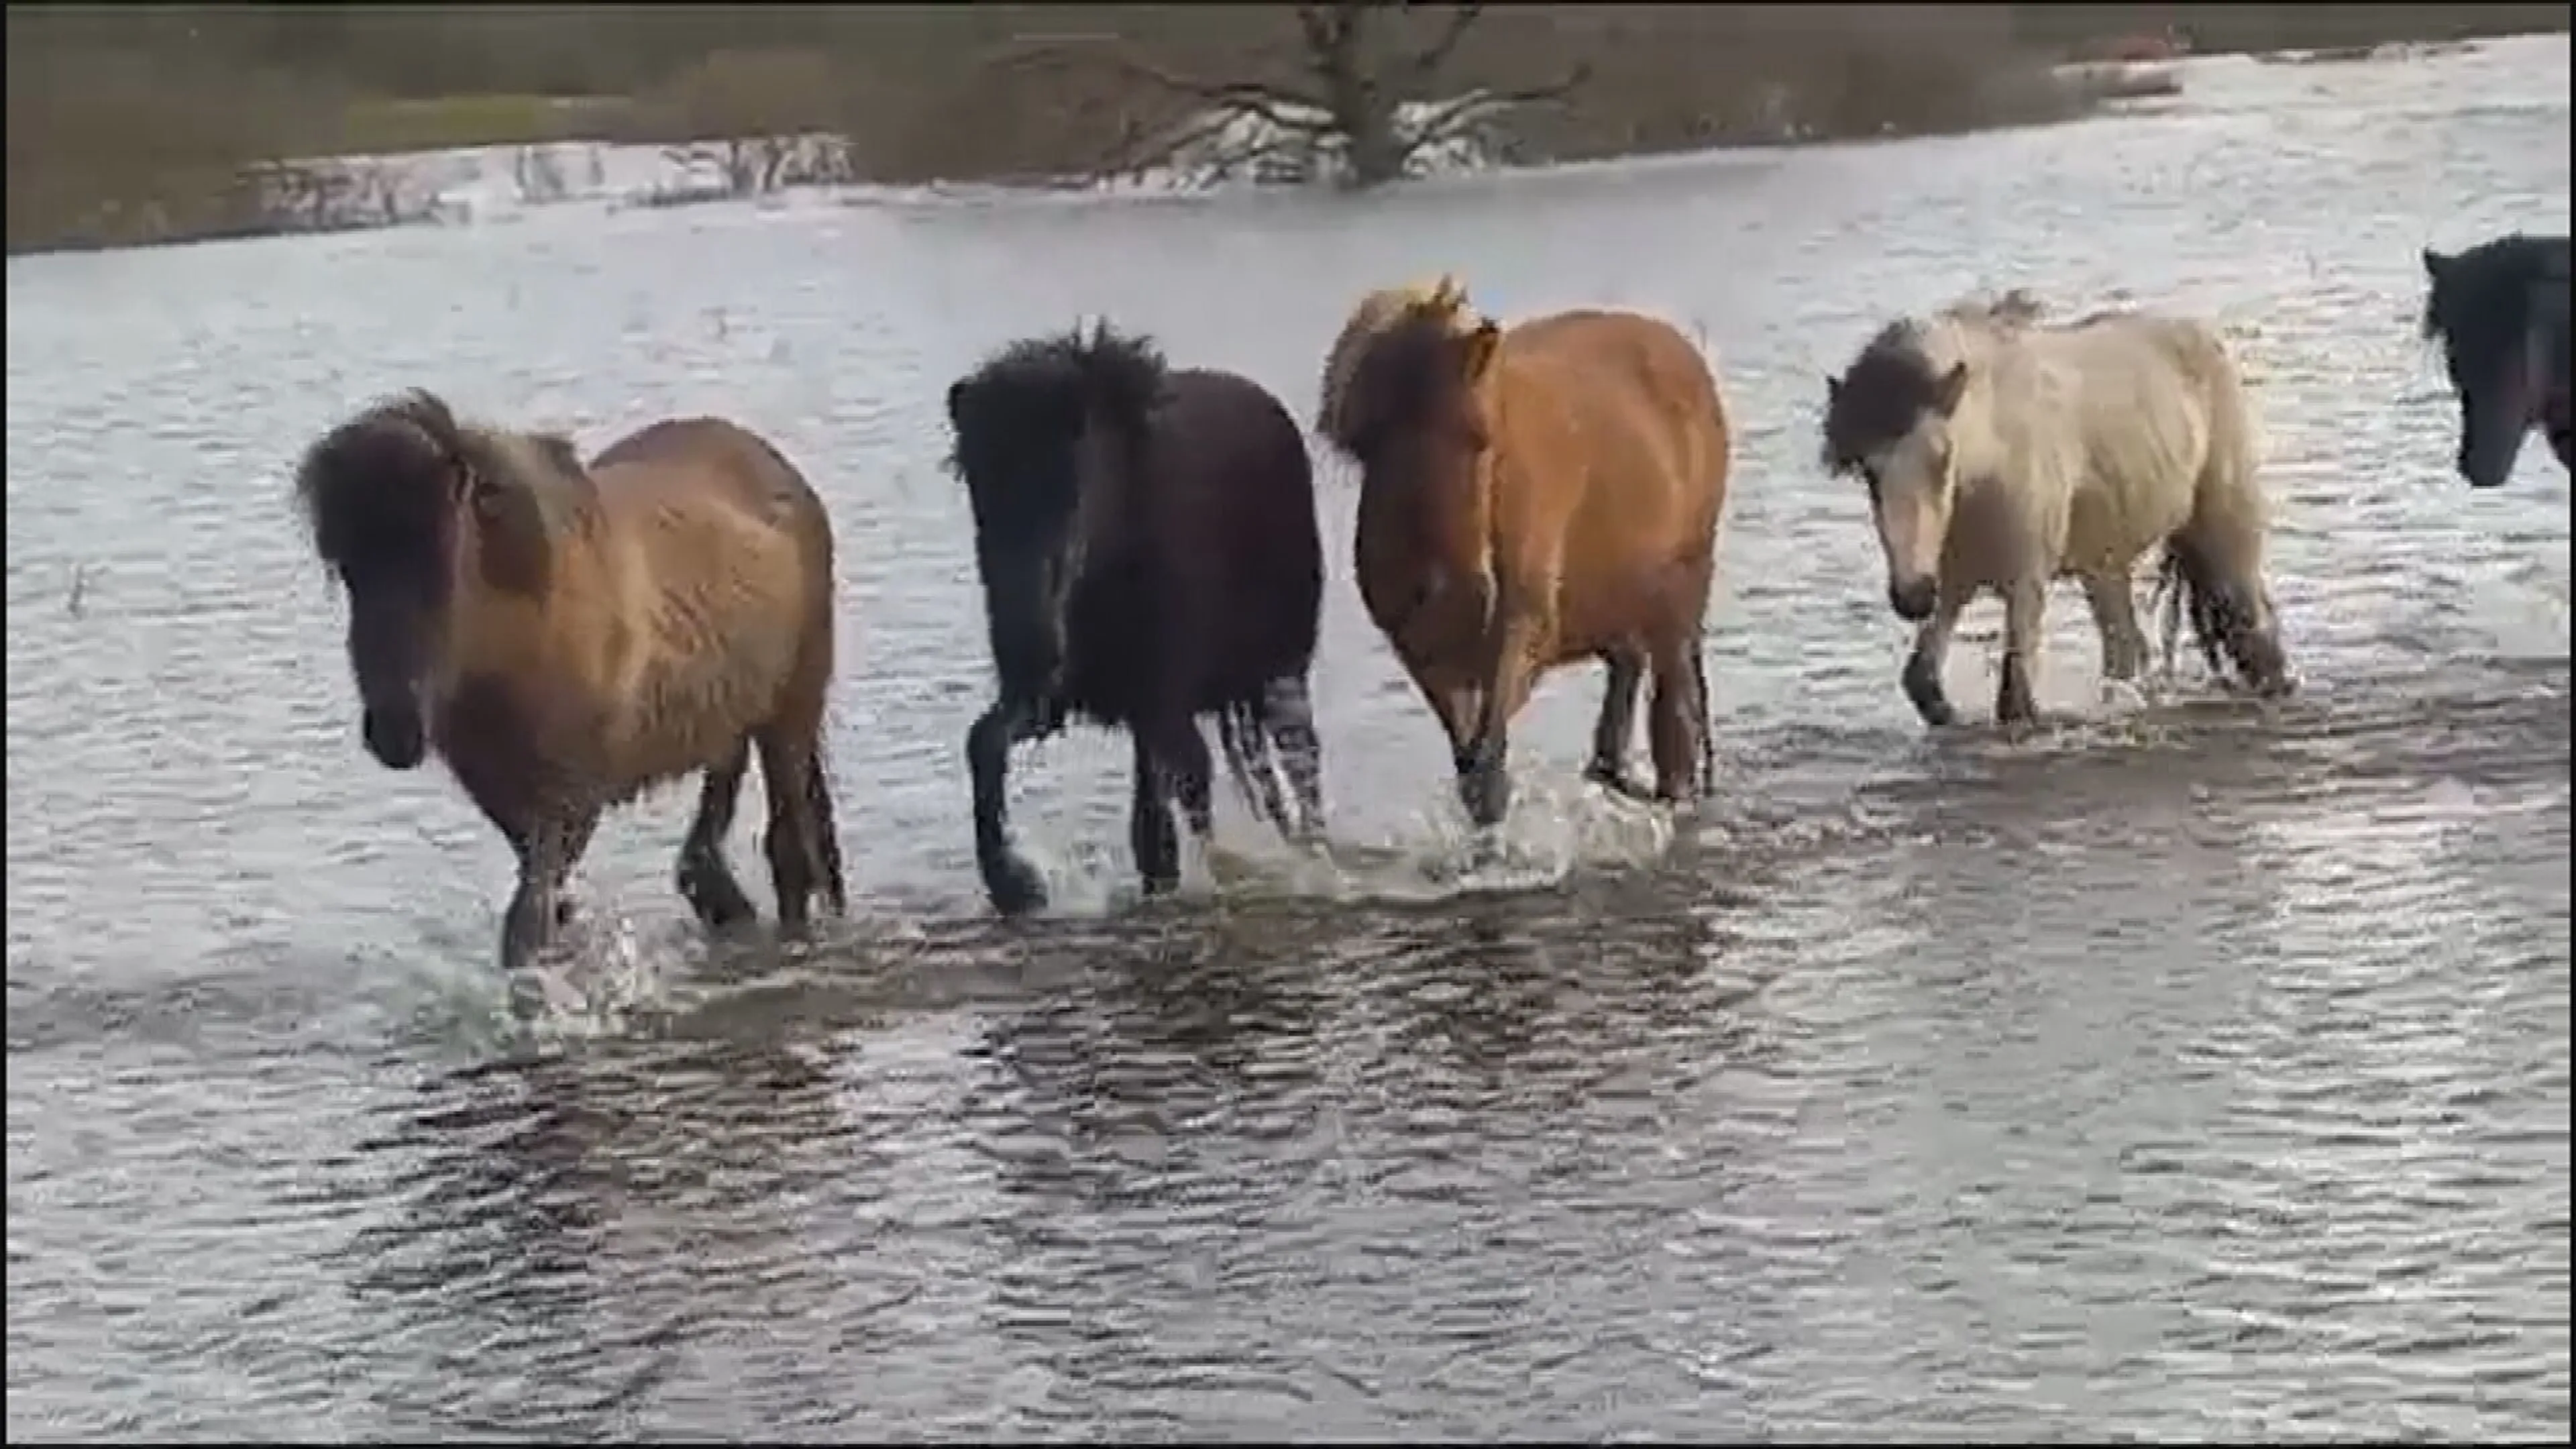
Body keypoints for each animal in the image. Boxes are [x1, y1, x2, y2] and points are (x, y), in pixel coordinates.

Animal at [294, 390, 848, 972]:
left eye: (441, 564)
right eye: (348, 572)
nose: (393, 732)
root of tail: (781, 473)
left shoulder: (569, 797)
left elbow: (530, 921)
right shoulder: (510, 801)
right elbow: (548, 912)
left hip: (791, 714)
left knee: (789, 849)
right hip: (730, 719)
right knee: (708, 848)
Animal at [947, 320, 1326, 917]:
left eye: (1073, 493)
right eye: (980, 496)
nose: (1030, 652)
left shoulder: (1158, 700)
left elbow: (1165, 821)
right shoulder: (1058, 701)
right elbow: (983, 743)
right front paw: (1015, 884)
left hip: (1282, 675)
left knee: (1301, 774)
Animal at [1318, 276, 1731, 829]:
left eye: (1481, 440)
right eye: (1375, 444)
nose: (1461, 595)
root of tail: (1678, 347)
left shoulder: (1522, 631)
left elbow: (1489, 767)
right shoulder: (1425, 656)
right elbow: (1473, 771)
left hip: (1679, 595)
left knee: (1674, 721)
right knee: (1623, 696)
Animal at [1821, 294, 2292, 730]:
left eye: (1941, 458)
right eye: (1869, 472)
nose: (1912, 595)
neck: (1993, 458)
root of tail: (2206, 336)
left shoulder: (2025, 579)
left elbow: (2014, 698)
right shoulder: (1955, 580)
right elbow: (1922, 681)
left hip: (2225, 527)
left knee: (2255, 628)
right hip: (2103, 564)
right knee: (2126, 650)